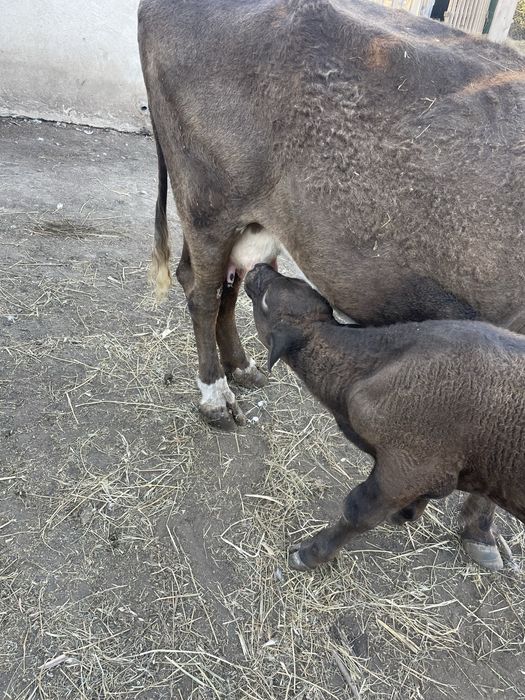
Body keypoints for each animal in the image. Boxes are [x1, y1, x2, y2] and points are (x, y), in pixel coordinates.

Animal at [138, 0, 525, 569]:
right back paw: (215, 397)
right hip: (208, 201)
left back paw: (243, 369)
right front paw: (478, 530)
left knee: (232, 284)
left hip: (252, 221)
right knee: (202, 293)